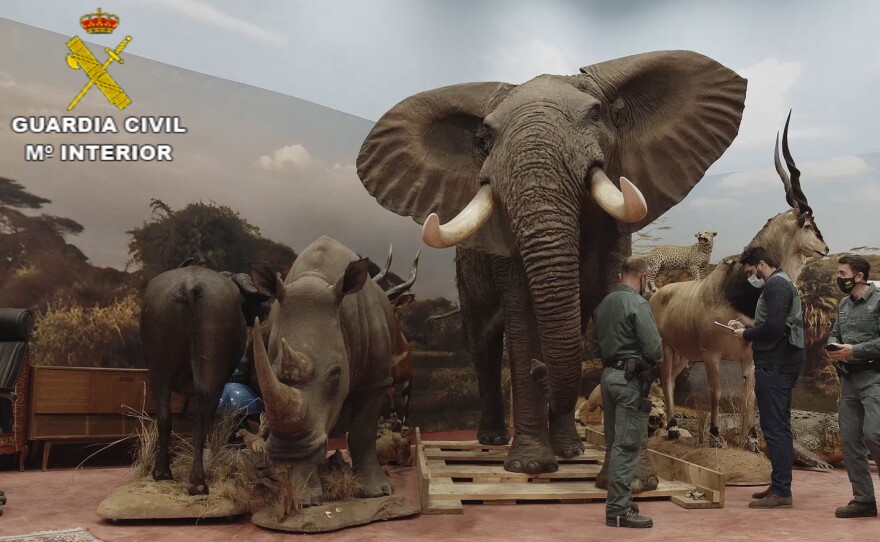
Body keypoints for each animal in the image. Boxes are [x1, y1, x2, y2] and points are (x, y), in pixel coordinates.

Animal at [141, 259, 275, 495]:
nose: (265, 309)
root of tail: (190, 285)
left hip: (159, 368)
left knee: (164, 416)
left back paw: (162, 472)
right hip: (212, 367)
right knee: (203, 414)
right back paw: (198, 482)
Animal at [249, 236, 397, 506]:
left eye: (336, 374)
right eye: (274, 369)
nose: (289, 450)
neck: (315, 278)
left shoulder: (377, 379)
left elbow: (362, 433)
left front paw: (377, 492)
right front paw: (306, 498)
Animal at [356, 50, 747, 476]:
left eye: (596, 114)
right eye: (484, 139)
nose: (538, 370)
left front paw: (625, 473)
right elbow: (522, 319)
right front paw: (529, 466)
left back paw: (570, 450)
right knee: (482, 340)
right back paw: (494, 439)